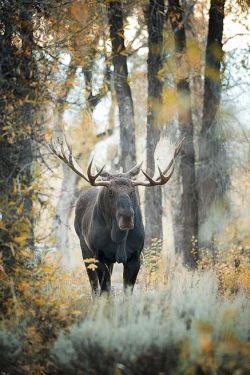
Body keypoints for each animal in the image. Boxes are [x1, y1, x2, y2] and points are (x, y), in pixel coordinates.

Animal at [48, 137, 183, 294]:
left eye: (132, 191)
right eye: (110, 191)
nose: (127, 217)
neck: (119, 237)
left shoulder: (135, 257)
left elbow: (127, 291)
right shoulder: (100, 256)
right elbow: (105, 290)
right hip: (85, 249)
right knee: (94, 286)